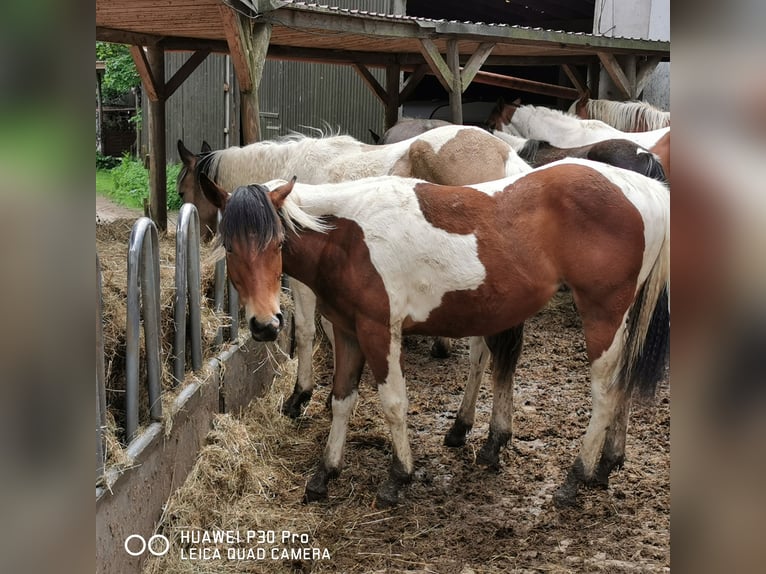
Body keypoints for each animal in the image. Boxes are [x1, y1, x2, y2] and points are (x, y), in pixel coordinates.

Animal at [200, 161, 672, 508]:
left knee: (605, 391)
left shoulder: (378, 330)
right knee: (622, 383)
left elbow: (393, 403)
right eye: (230, 246)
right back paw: (607, 464)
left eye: (278, 243)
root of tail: (647, 190)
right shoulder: (348, 331)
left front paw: (398, 477)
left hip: (602, 315)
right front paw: (325, 474)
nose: (265, 324)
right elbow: (341, 401)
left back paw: (576, 477)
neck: (345, 236)